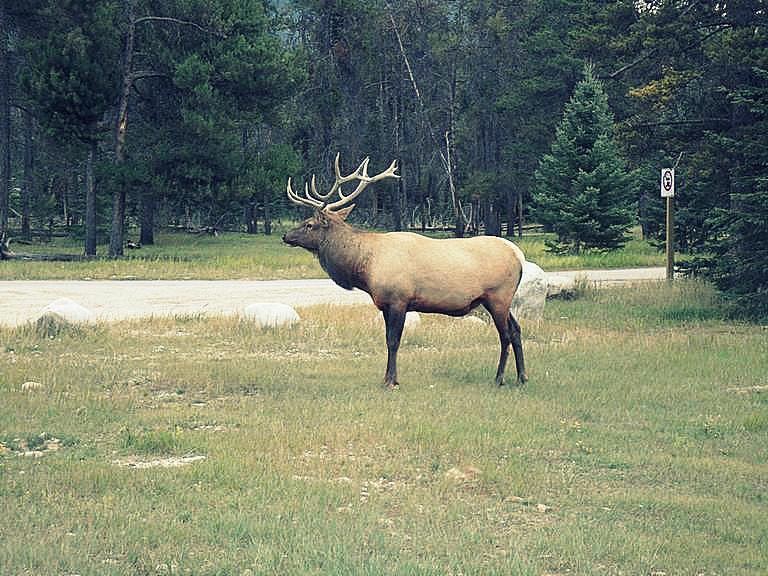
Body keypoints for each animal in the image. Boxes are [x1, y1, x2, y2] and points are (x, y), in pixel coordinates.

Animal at [284, 153, 528, 390]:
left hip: (498, 296)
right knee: (516, 329)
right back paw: (522, 377)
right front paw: (387, 378)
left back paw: (499, 378)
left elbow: (394, 341)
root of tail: (519, 257)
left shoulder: (399, 300)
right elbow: (386, 339)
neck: (365, 269)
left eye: (309, 224)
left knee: (505, 335)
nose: (286, 236)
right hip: (498, 300)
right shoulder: (384, 304)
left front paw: (391, 381)